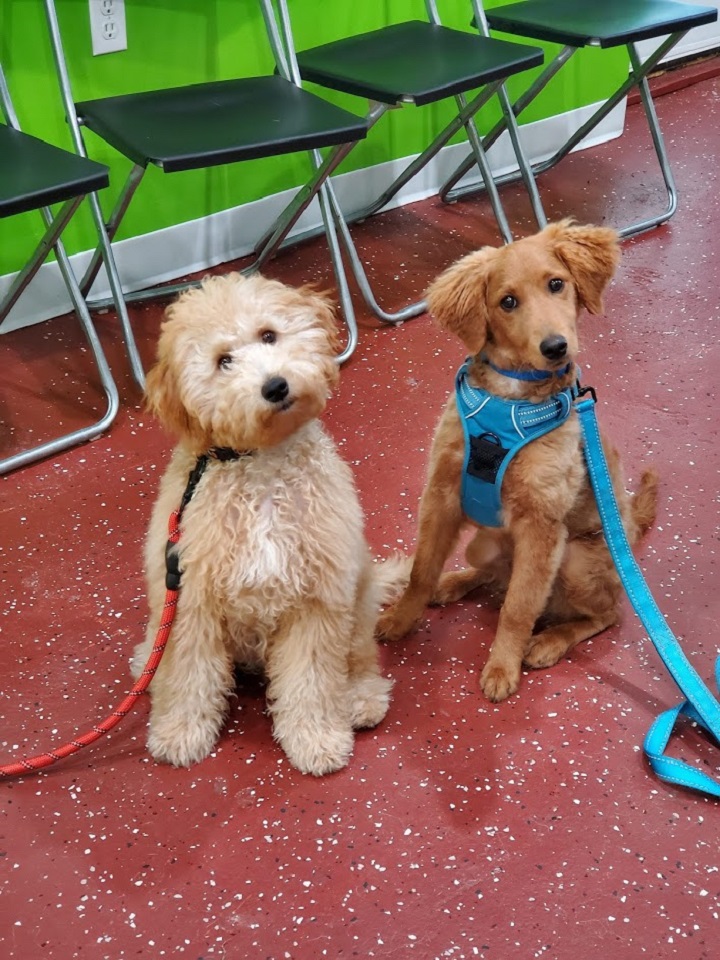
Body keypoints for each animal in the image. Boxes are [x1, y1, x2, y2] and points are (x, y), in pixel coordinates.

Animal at [132, 274, 396, 776]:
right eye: (224, 361)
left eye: (269, 335)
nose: (275, 386)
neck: (262, 469)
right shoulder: (191, 602)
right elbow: (189, 673)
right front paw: (180, 732)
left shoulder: (316, 603)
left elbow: (311, 681)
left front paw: (316, 739)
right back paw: (145, 665)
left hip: (356, 598)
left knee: (358, 659)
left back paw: (360, 699)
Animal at [382, 221, 660, 700]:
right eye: (507, 302)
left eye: (557, 284)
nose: (556, 347)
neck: (508, 403)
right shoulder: (441, 495)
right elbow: (420, 571)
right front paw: (401, 620)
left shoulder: (541, 525)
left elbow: (518, 607)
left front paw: (501, 667)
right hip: (487, 541)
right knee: (496, 575)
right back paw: (453, 582)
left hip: (576, 560)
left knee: (607, 614)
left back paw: (549, 641)